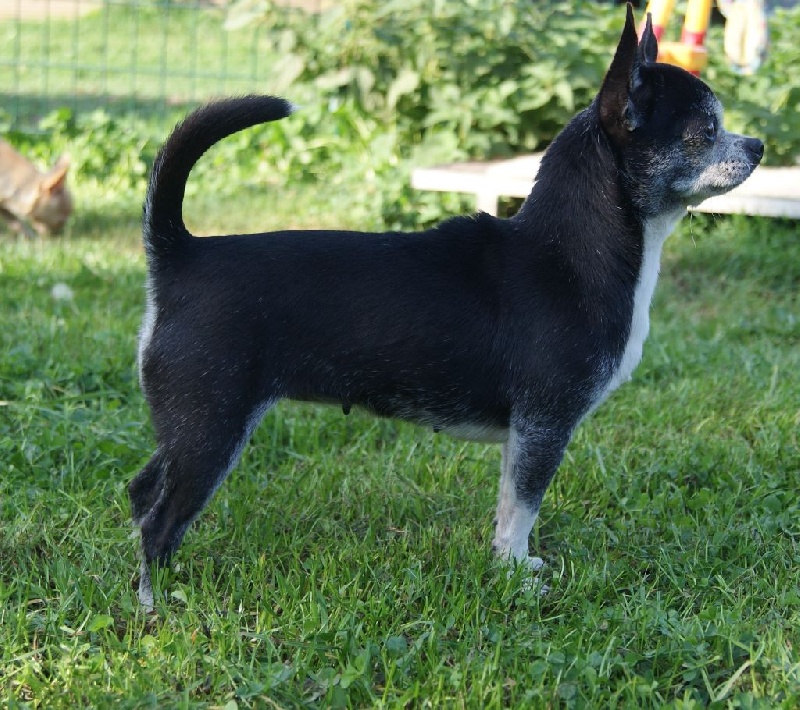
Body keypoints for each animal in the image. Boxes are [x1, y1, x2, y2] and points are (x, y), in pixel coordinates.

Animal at [130, 5, 763, 608]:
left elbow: (508, 506)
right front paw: (517, 578)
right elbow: (523, 508)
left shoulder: (523, 436)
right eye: (706, 131)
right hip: (210, 430)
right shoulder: (544, 426)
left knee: (141, 494)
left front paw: (512, 566)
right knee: (160, 519)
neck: (569, 251)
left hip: (190, 430)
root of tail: (180, 253)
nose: (757, 145)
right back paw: (154, 606)